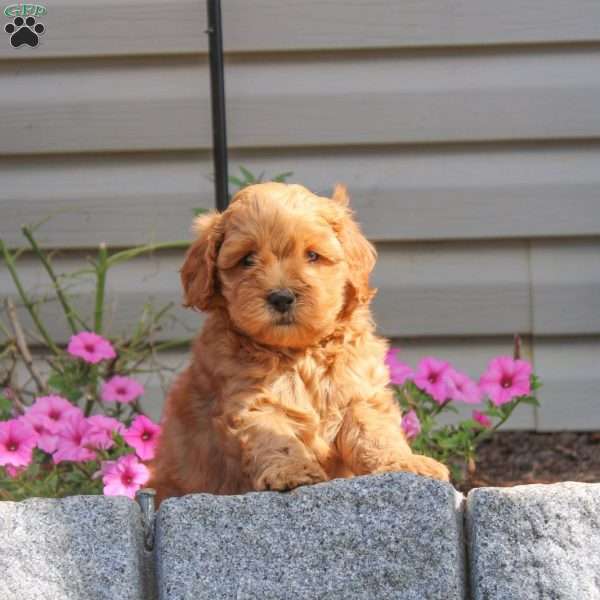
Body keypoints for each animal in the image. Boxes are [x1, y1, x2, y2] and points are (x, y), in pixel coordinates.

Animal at [149, 180, 448, 504]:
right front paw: (291, 471)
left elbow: (376, 432)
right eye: (247, 259)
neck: (300, 353)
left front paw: (405, 462)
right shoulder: (252, 401)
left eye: (313, 256)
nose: (281, 297)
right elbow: (274, 436)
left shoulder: (359, 392)